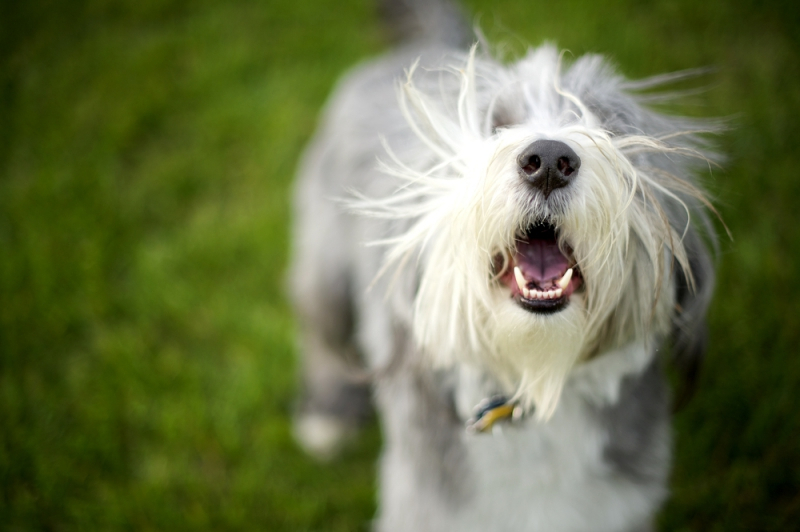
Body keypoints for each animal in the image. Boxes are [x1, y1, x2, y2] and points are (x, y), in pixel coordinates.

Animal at [290, 2, 716, 528]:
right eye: (495, 124)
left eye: (608, 125)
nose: (550, 159)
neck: (535, 376)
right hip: (325, 265)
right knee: (322, 334)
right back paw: (327, 414)